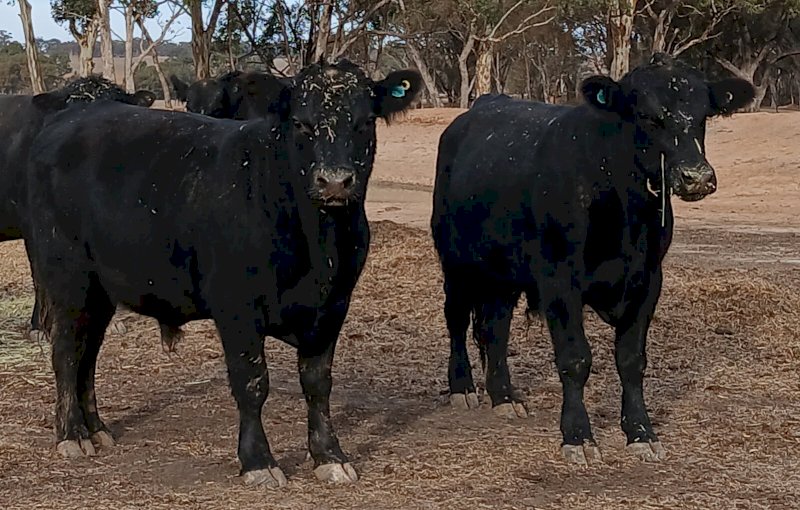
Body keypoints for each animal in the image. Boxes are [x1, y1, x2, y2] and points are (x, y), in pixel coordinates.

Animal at [24, 60, 421, 487]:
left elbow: (318, 382)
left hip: (100, 291)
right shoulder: (236, 306)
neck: (317, 246)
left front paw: (330, 455)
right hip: (67, 280)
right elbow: (252, 382)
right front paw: (258, 461)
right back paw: (72, 434)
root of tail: (71, 118)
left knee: (88, 354)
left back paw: (97, 428)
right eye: (300, 123)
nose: (334, 181)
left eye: (365, 122)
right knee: (66, 352)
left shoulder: (333, 306)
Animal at [430, 53, 754, 465]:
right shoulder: (559, 280)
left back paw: (504, 396)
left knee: (495, 326)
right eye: (645, 115)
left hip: (504, 272)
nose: (696, 176)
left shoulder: (648, 280)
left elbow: (631, 360)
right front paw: (578, 437)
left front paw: (641, 433)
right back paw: (463, 388)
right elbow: (575, 360)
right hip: (456, 261)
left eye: (704, 114)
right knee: (456, 319)